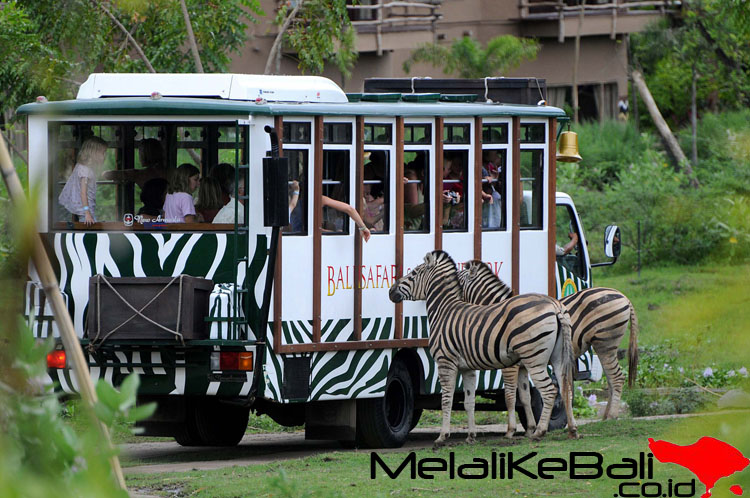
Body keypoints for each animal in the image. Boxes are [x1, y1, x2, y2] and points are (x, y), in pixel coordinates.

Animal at [390, 251, 580, 446]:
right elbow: (471, 401)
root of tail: (555, 306)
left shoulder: (446, 362)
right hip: (557, 357)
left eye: (413, 273)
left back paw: (540, 432)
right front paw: (471, 436)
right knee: (565, 387)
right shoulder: (468, 368)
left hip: (534, 358)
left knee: (549, 391)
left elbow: (448, 400)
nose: (391, 291)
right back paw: (572, 430)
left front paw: (443, 436)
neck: (444, 310)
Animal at [458, 260, 640, 436]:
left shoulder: (511, 365)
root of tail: (624, 297)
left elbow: (510, 396)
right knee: (610, 379)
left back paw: (611, 416)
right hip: (604, 347)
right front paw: (530, 429)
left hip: (605, 343)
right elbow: (524, 397)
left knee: (616, 377)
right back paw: (605, 416)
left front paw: (511, 431)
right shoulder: (523, 366)